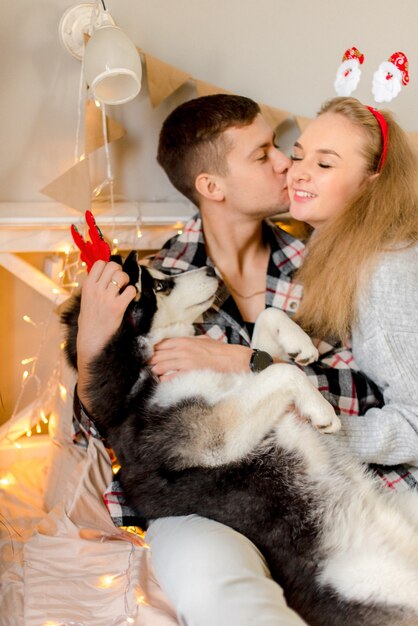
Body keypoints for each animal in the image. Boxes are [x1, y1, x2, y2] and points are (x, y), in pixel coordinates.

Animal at [62, 250, 418, 624]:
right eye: (160, 286)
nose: (210, 268)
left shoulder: (242, 380)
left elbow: (266, 323)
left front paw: (300, 343)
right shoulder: (215, 434)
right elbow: (283, 372)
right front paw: (320, 409)